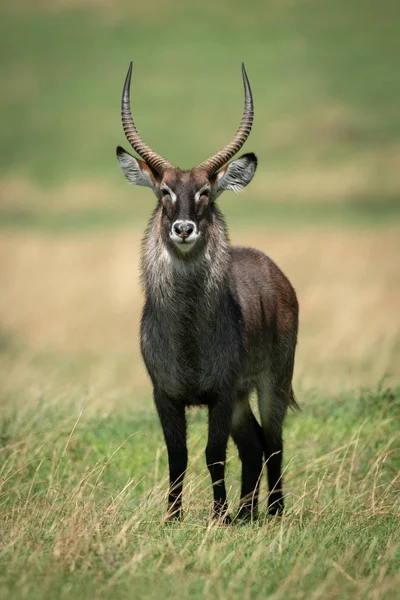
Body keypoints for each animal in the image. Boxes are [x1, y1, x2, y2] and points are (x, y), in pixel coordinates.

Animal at [115, 59, 296, 520]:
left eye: (205, 191)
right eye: (164, 190)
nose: (183, 229)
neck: (187, 337)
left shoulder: (220, 392)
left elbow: (214, 454)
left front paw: (218, 516)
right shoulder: (165, 394)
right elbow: (177, 455)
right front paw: (173, 517)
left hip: (272, 381)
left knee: (273, 443)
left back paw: (272, 510)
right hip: (243, 397)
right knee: (252, 445)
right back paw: (249, 513)